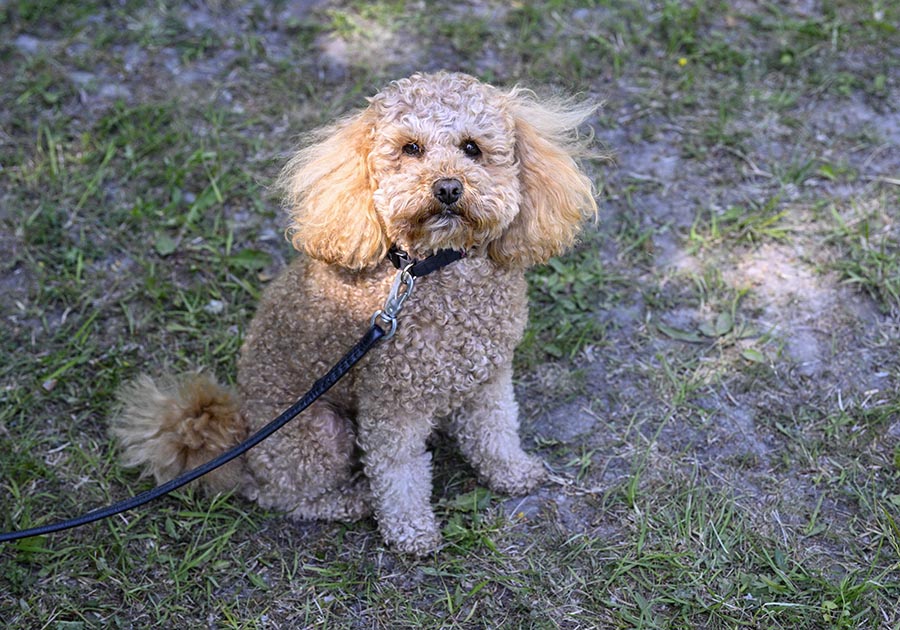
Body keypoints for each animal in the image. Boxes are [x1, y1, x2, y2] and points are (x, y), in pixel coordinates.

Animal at [112, 71, 600, 556]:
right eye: (411, 148)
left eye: (472, 148)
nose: (447, 188)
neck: (428, 270)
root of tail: (241, 436)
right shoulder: (391, 402)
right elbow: (398, 472)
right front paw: (412, 532)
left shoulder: (491, 377)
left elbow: (496, 430)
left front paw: (513, 473)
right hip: (317, 434)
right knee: (280, 495)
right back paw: (352, 500)